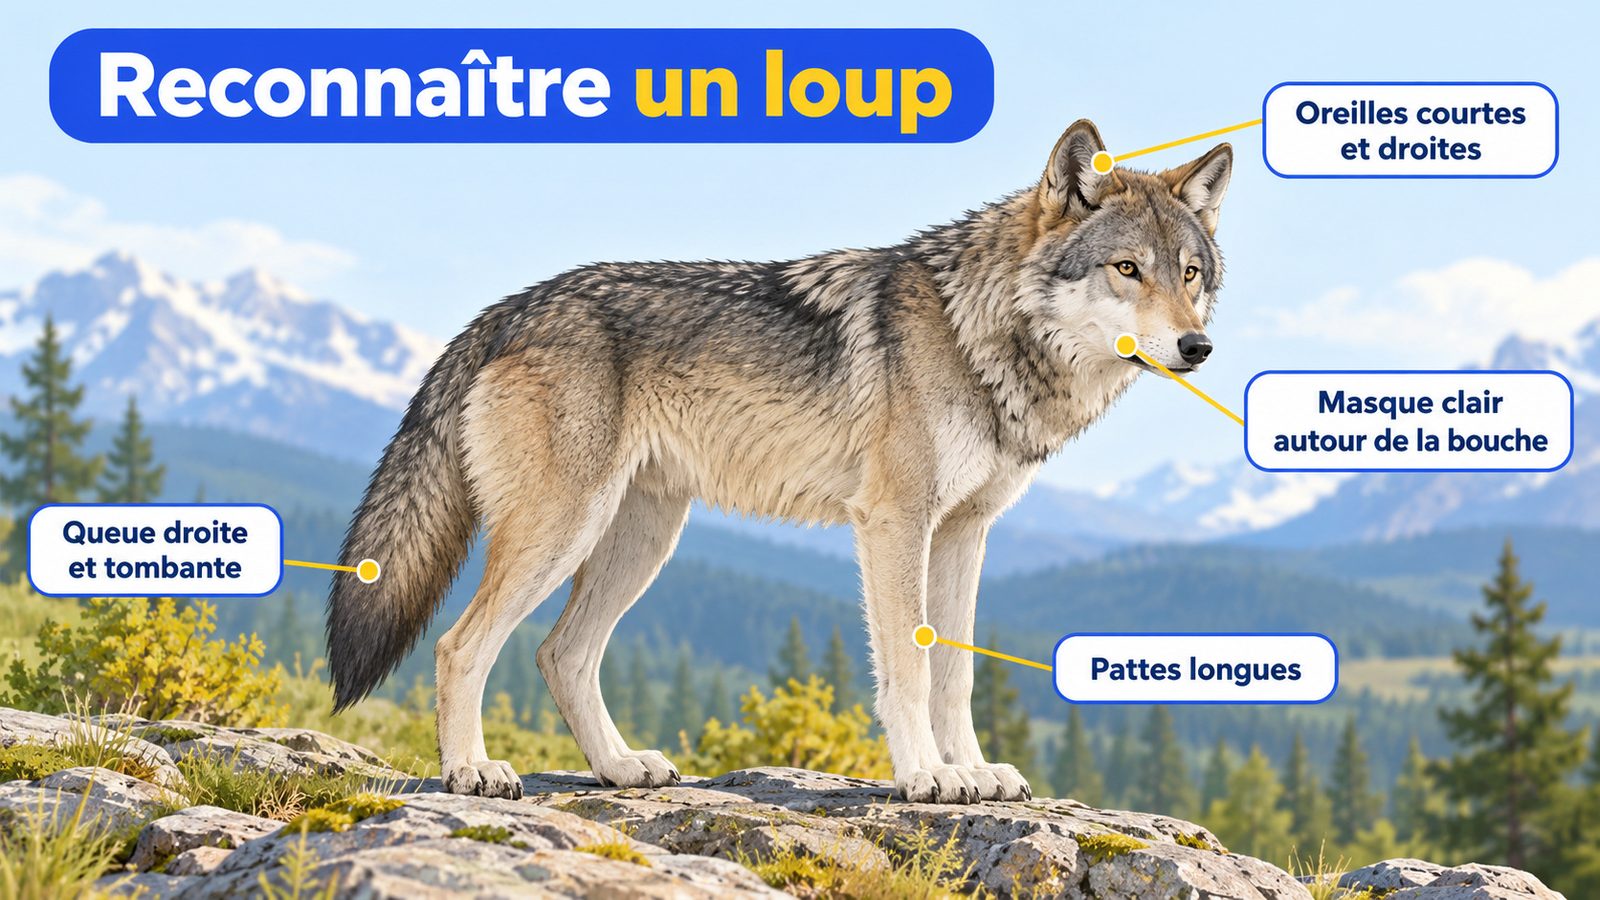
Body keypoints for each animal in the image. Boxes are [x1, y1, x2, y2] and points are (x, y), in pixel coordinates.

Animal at [325, 119, 1232, 804]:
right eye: (1126, 269)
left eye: (1190, 274)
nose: (1198, 347)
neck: (979, 332)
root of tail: (507, 309)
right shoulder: (895, 522)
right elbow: (909, 667)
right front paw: (928, 779)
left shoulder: (965, 532)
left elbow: (957, 673)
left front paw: (973, 771)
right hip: (564, 530)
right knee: (461, 646)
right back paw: (472, 771)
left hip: (641, 541)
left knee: (561, 653)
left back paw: (619, 767)